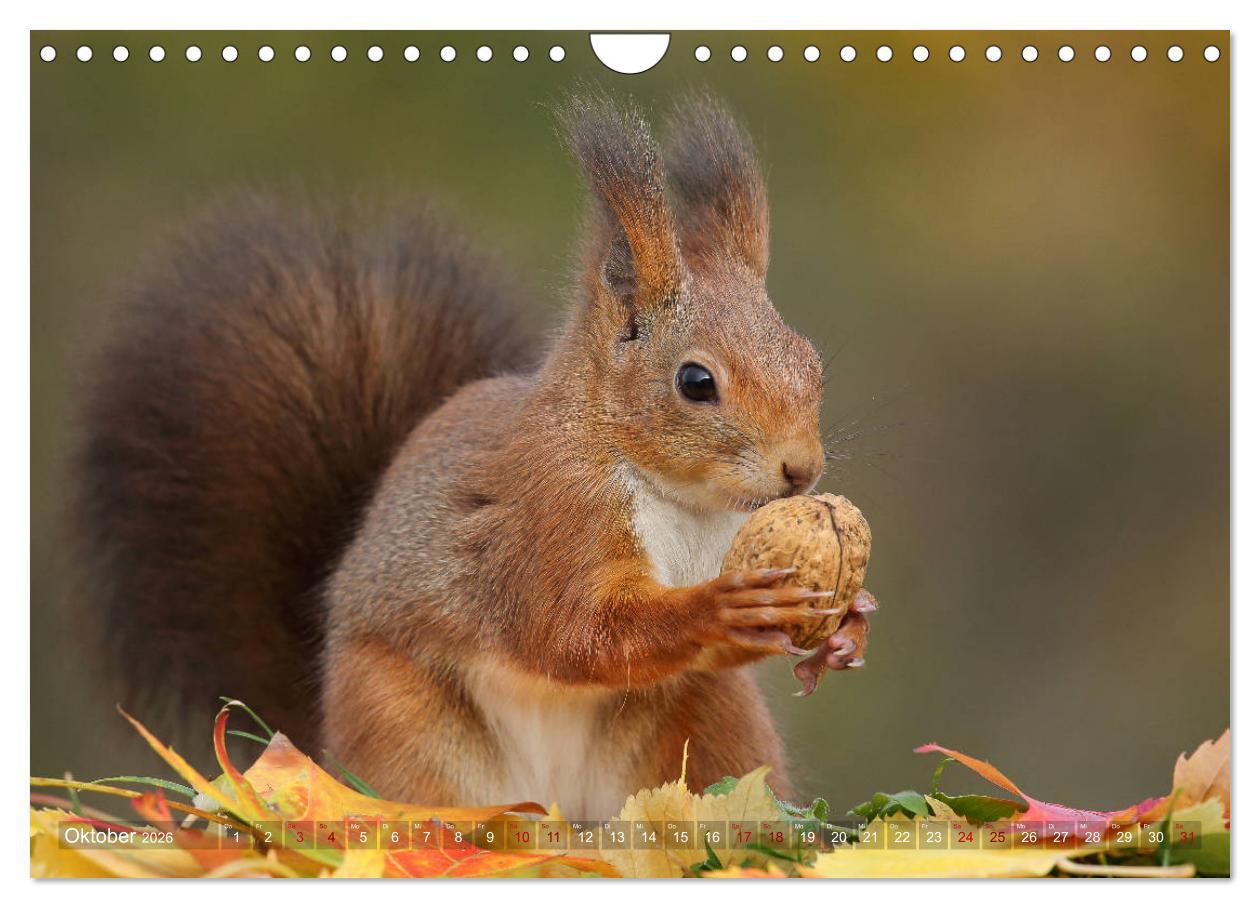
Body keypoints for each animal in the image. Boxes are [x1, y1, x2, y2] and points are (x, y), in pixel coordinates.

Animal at [76, 92, 874, 818]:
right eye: (696, 382)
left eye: (811, 362)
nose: (801, 471)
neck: (680, 499)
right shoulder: (550, 522)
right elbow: (575, 633)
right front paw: (720, 607)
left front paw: (849, 625)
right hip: (403, 726)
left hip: (709, 724)